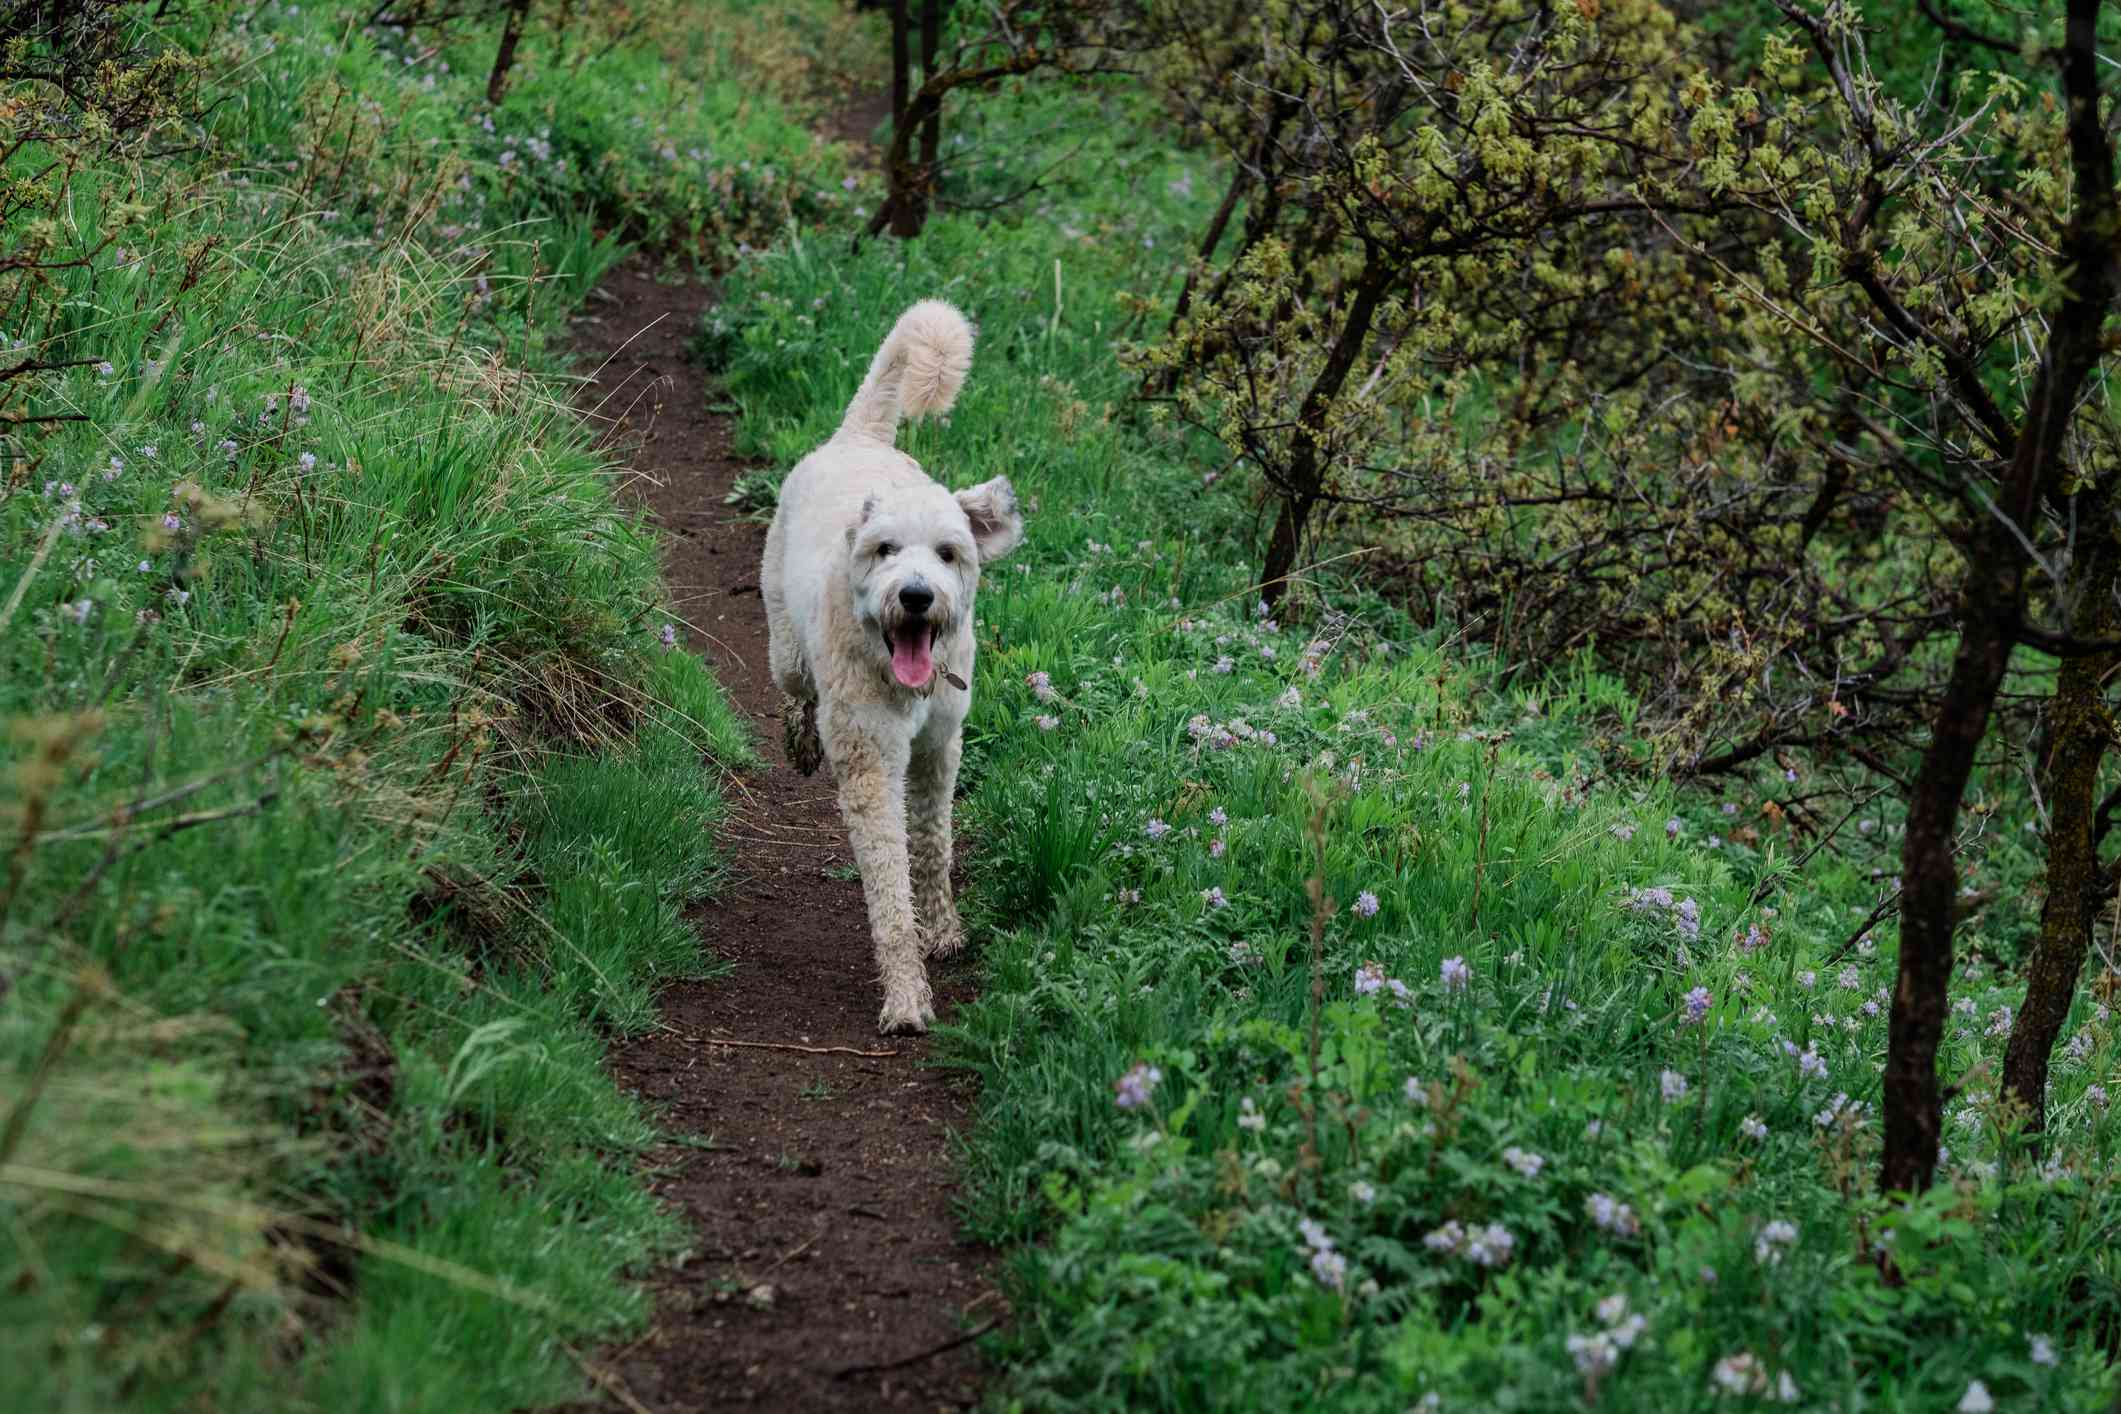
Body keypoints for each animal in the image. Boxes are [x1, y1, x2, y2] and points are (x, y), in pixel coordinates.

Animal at [763, 301, 1026, 1030]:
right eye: (883, 550)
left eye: (948, 553)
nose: (914, 596)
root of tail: (859, 436)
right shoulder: (870, 761)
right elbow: (888, 881)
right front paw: (906, 992)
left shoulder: (940, 747)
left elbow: (933, 845)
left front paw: (945, 929)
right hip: (784, 644)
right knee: (795, 690)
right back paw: (800, 740)